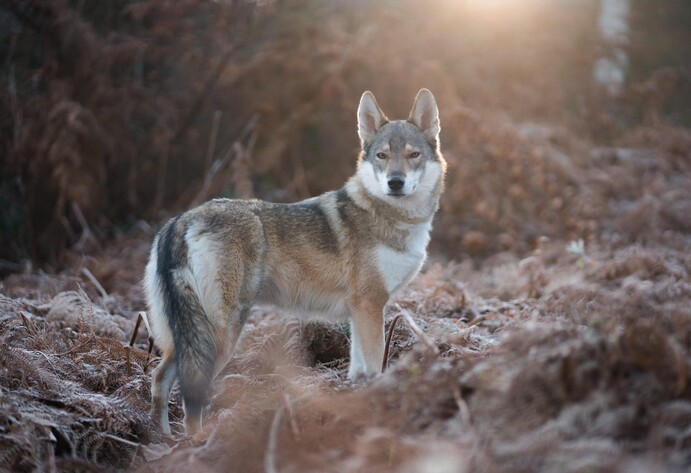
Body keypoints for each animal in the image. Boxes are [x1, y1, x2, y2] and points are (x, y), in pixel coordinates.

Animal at [144, 88, 446, 435]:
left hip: (184, 337)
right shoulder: (370, 304)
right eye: (382, 156)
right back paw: (196, 441)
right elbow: (375, 367)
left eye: (413, 155)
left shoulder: (359, 311)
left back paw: (163, 440)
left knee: (159, 379)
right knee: (189, 394)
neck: (393, 218)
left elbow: (358, 370)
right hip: (220, 336)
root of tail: (181, 219)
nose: (395, 183)